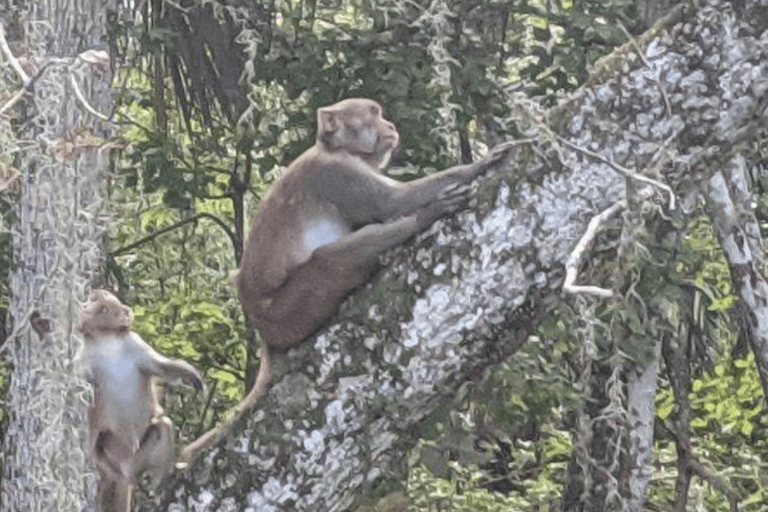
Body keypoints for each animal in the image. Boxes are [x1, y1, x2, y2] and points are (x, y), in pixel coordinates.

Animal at [80, 290, 204, 512]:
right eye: (91, 300)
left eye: (97, 302)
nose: (85, 304)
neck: (106, 339)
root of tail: (123, 473)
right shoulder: (86, 359)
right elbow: (89, 401)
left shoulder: (134, 342)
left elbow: (160, 367)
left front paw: (190, 374)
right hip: (111, 458)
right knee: (102, 439)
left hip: (137, 461)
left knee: (163, 425)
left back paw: (157, 488)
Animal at [179, 98, 512, 462]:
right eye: (374, 113)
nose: (390, 126)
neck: (336, 149)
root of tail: (263, 332)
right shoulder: (336, 175)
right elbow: (392, 203)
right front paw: (477, 165)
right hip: (289, 310)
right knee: (328, 259)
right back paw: (420, 219)